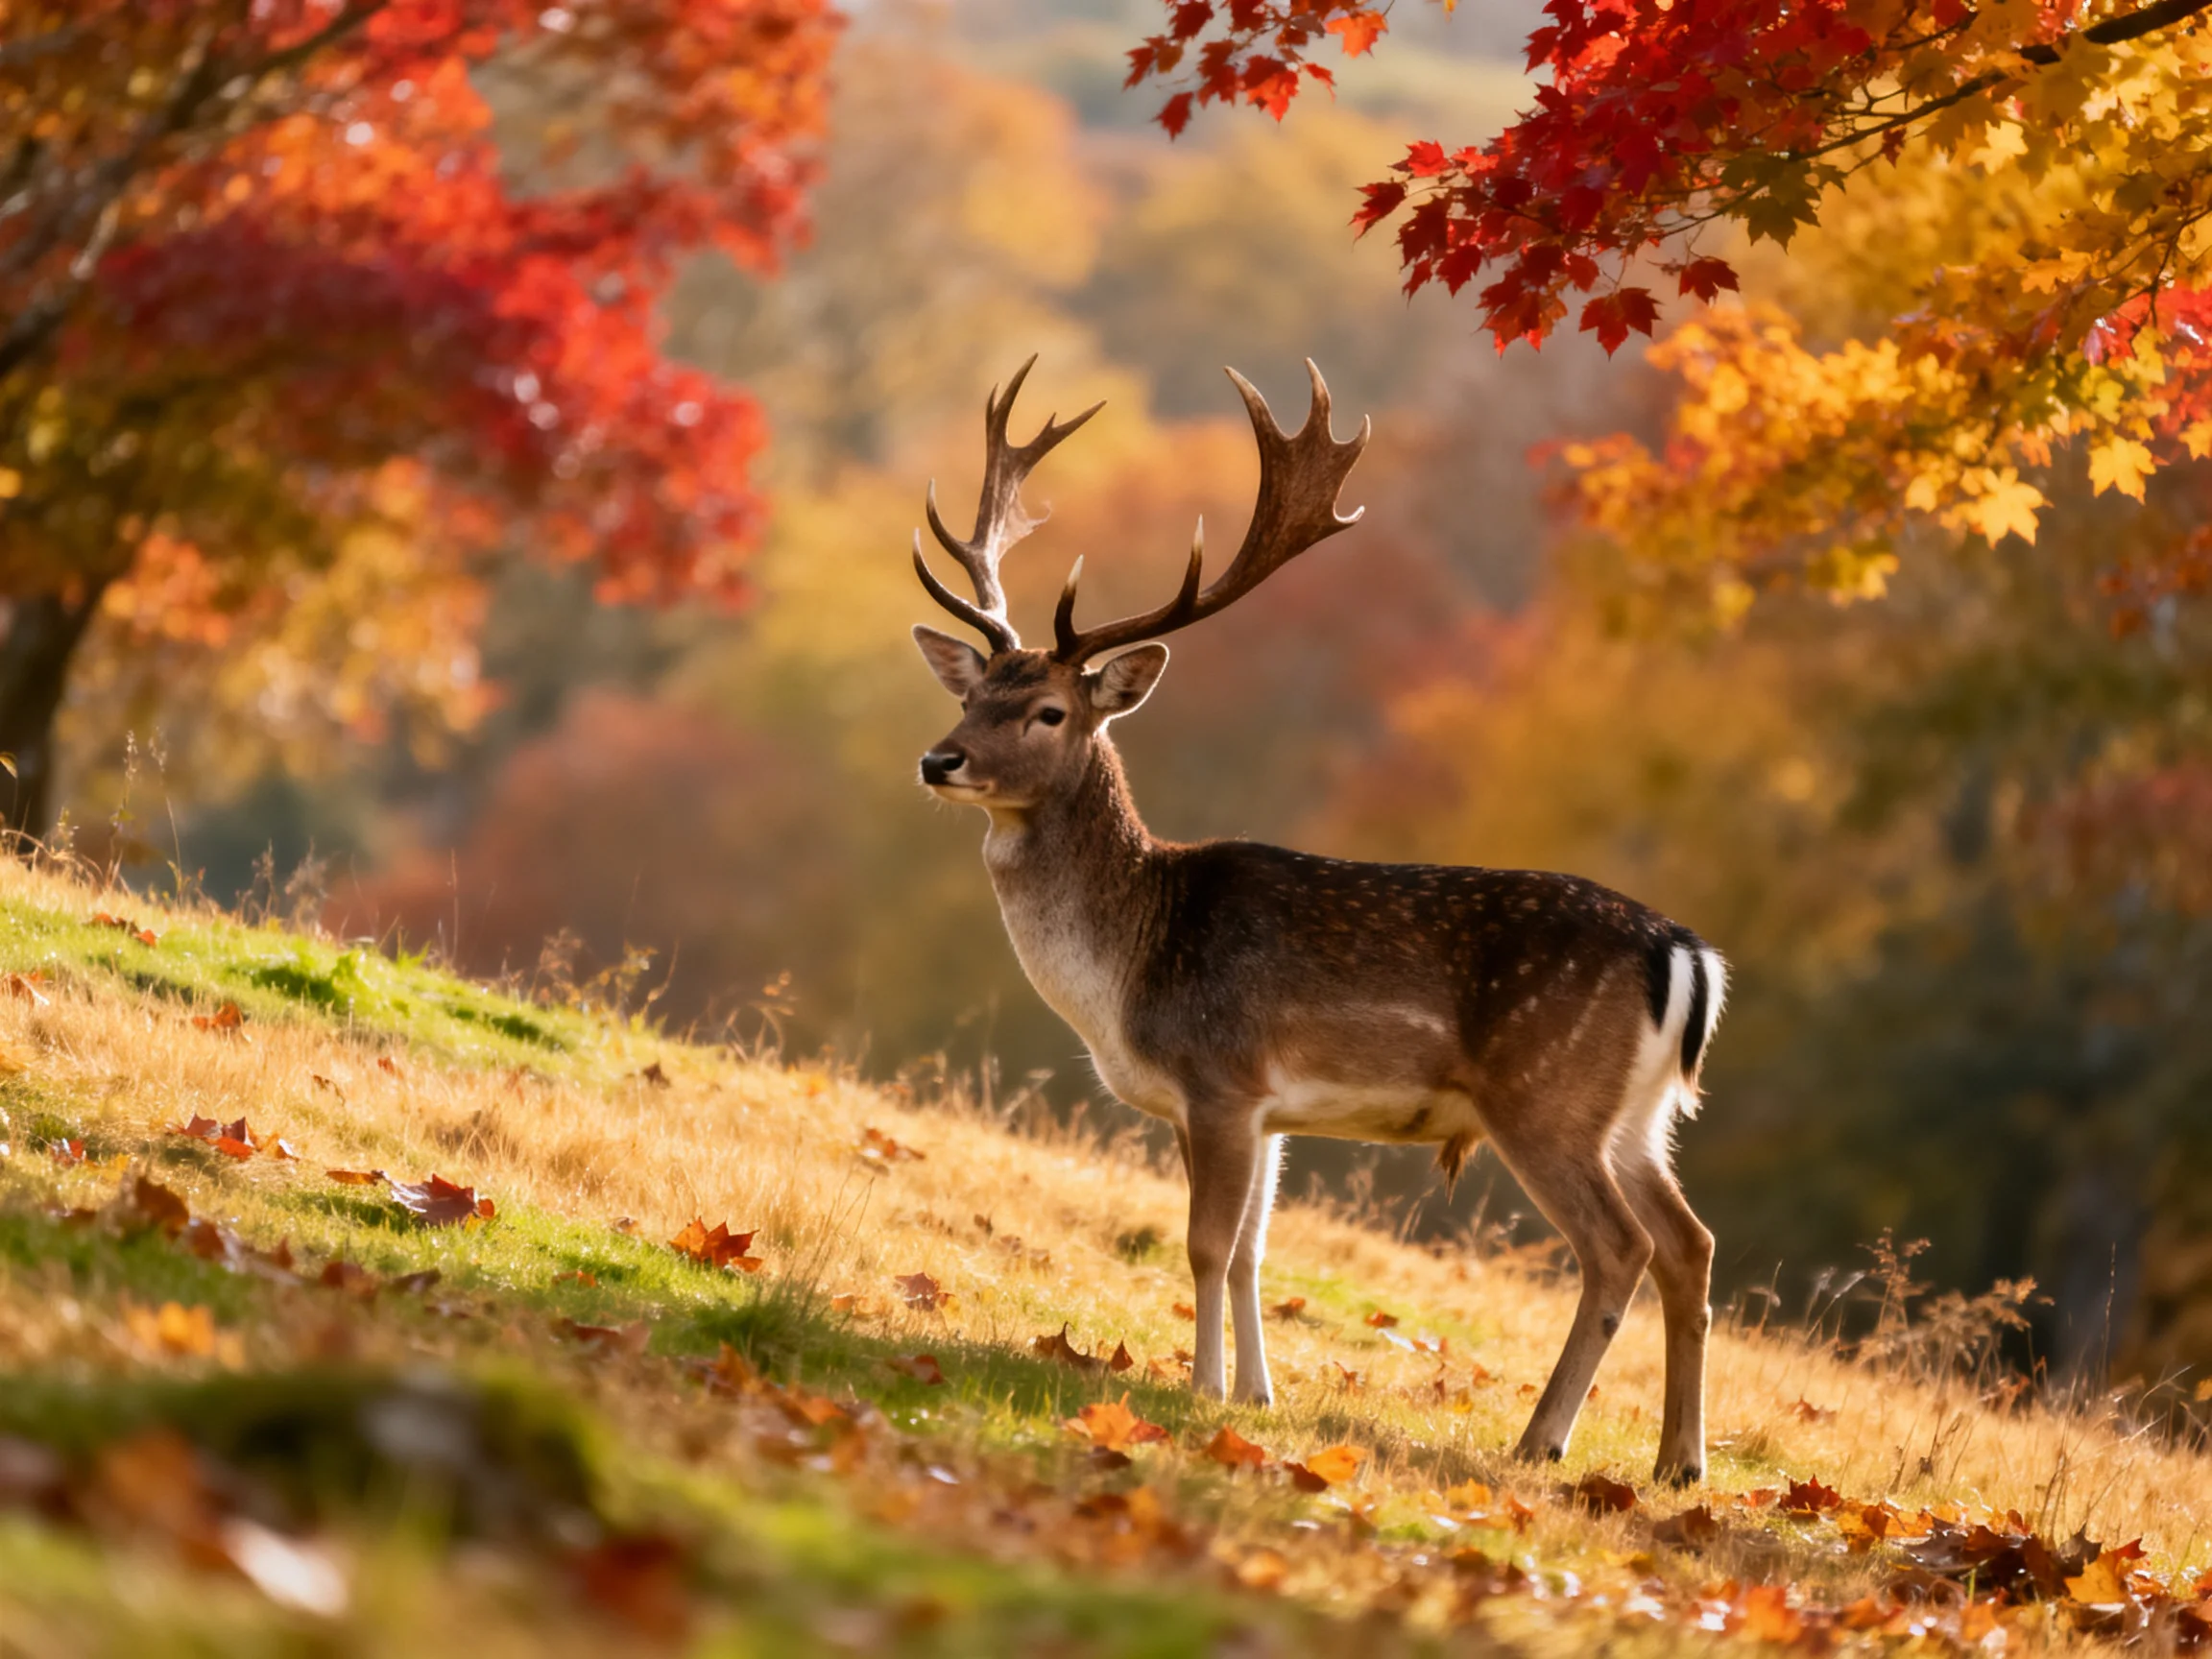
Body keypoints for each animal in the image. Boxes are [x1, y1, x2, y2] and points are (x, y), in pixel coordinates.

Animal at [908, 357, 1728, 1483]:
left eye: (1049, 712)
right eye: (974, 689)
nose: (938, 759)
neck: (1128, 970)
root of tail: (1682, 954)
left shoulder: (1219, 1077)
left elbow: (1207, 1244)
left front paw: (1201, 1388)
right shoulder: (1267, 1109)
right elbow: (1256, 1247)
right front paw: (1257, 1391)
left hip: (1546, 1093)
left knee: (1620, 1248)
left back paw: (1542, 1440)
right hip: (1639, 1114)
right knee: (1691, 1242)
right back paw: (1678, 1463)